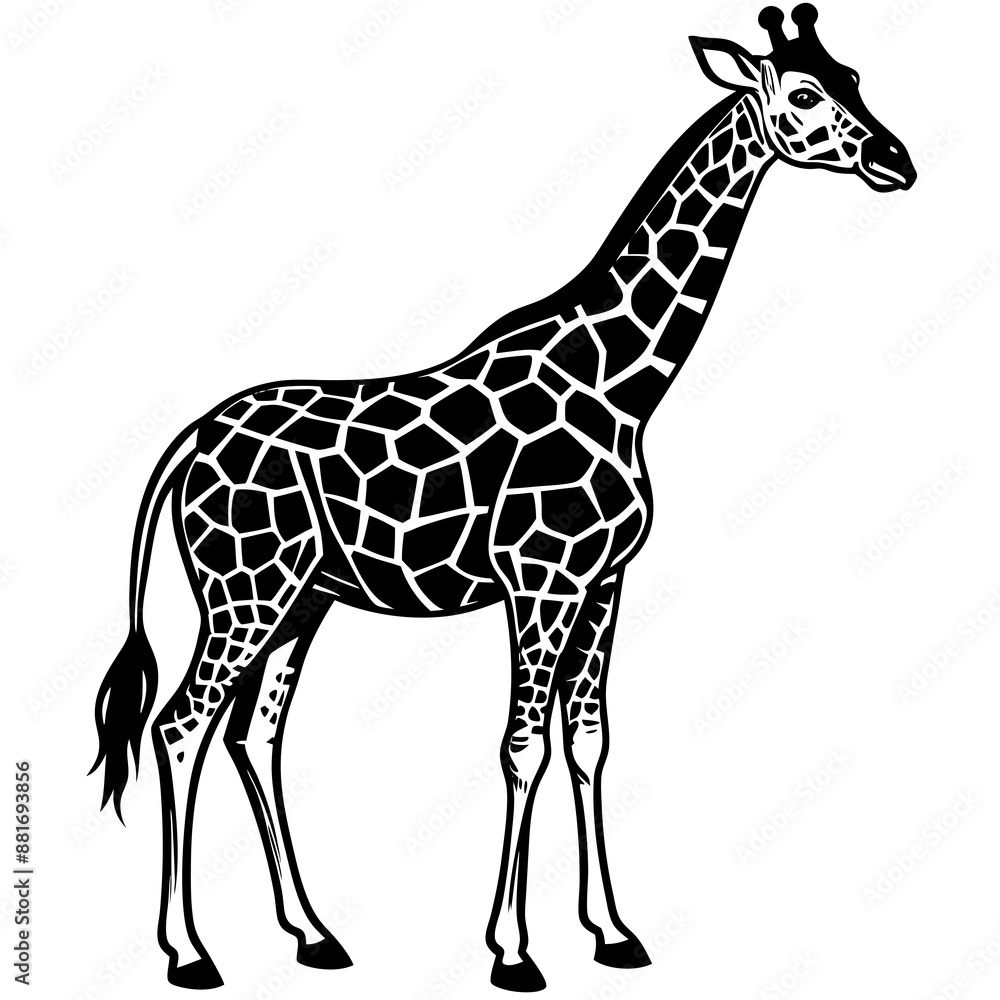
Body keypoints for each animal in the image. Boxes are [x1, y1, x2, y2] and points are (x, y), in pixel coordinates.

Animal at [90, 6, 914, 992]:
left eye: (853, 75)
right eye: (800, 93)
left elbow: (588, 742)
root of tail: (188, 443)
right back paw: (189, 953)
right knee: (180, 726)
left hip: (302, 598)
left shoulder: (603, 584)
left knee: (255, 734)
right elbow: (522, 748)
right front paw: (514, 952)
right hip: (244, 591)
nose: (897, 161)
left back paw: (315, 935)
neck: (620, 385)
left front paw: (613, 933)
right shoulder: (539, 582)